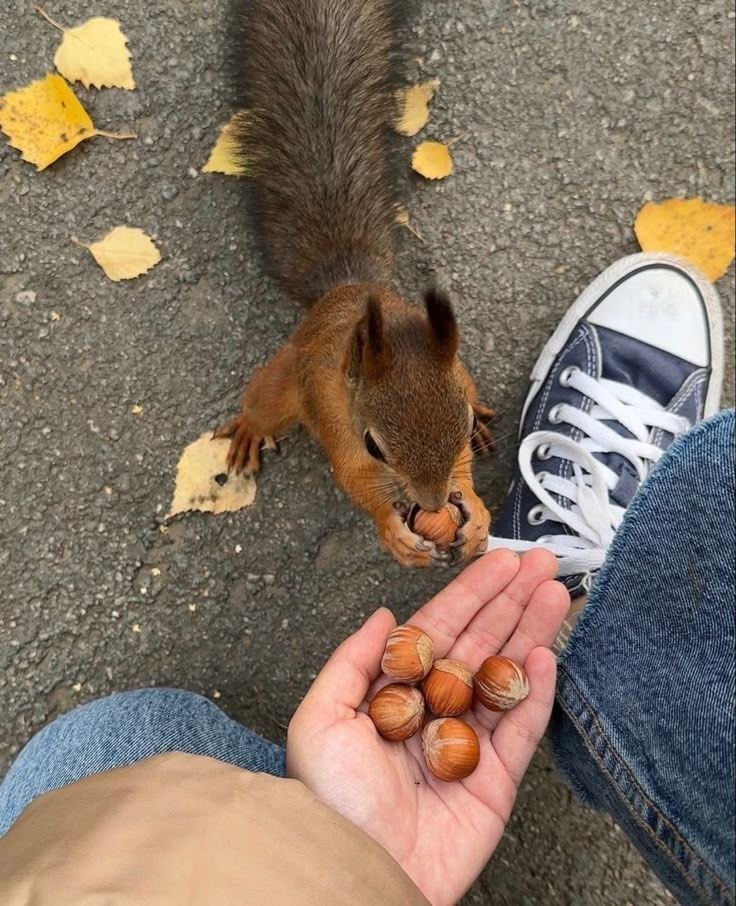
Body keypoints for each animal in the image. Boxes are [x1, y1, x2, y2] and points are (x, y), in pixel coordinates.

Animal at [216, 0, 495, 567]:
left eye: (455, 424)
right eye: (372, 445)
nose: (432, 502)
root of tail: (345, 290)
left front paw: (475, 512)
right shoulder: (335, 421)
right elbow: (355, 482)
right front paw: (394, 530)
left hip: (463, 369)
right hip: (289, 374)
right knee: (265, 400)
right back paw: (252, 428)